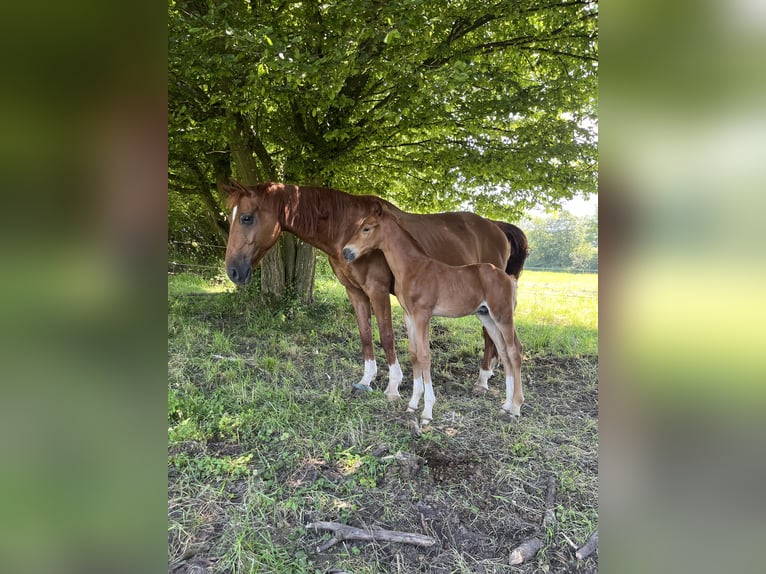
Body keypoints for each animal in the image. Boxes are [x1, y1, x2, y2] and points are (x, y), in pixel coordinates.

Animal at [225, 182, 532, 402]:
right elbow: (365, 335)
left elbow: (386, 336)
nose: (233, 271)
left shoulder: (378, 290)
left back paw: (483, 381)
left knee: (491, 338)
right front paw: (366, 380)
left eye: (246, 217)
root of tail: (496, 227)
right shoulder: (355, 292)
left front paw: (394, 386)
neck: (345, 225)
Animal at [344, 200, 524, 426]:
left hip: (503, 316)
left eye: (366, 228)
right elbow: (414, 354)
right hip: (487, 316)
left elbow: (424, 355)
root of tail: (509, 278)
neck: (414, 268)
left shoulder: (423, 315)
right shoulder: (409, 315)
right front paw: (412, 404)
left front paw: (427, 412)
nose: (346, 252)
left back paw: (516, 408)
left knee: (514, 351)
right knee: (503, 351)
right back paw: (505, 406)